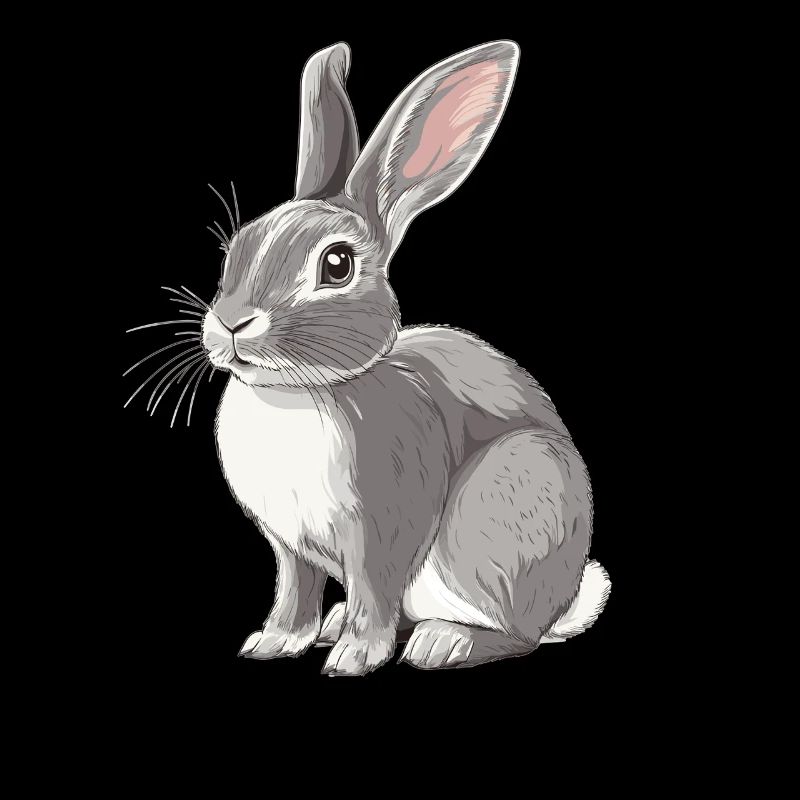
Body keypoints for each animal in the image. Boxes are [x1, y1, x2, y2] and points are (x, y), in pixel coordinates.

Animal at [201, 41, 610, 675]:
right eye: (237, 247)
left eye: (337, 265)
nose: (231, 324)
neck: (295, 393)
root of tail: (563, 600)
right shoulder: (289, 548)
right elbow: (294, 591)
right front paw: (273, 642)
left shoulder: (383, 533)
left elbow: (374, 590)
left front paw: (354, 659)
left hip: (494, 515)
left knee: (516, 634)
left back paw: (444, 643)